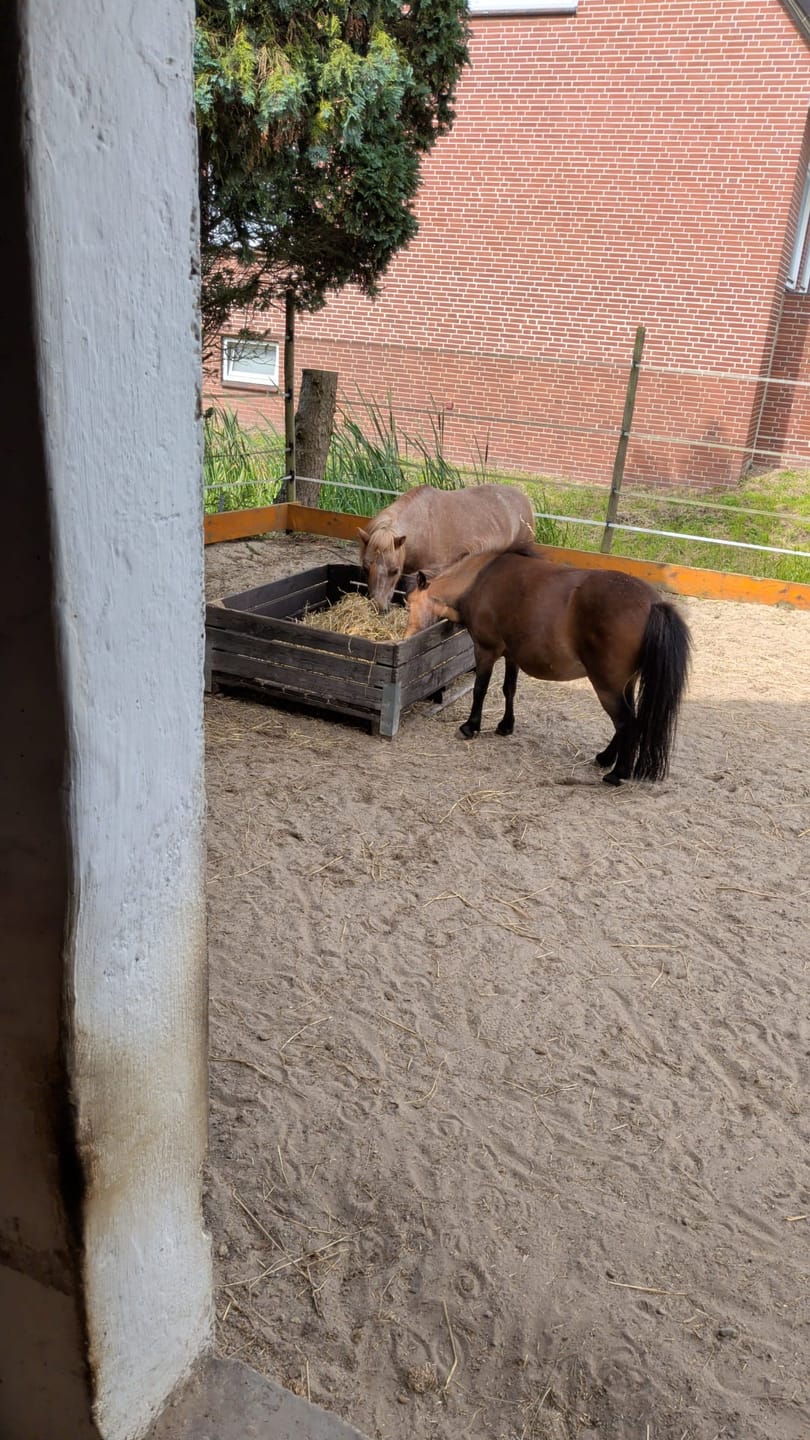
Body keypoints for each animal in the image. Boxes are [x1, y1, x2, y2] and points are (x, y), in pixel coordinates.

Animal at [357, 483, 534, 611]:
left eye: (394, 571)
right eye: (365, 568)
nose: (378, 607)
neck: (423, 527)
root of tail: (523, 498)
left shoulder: (435, 571)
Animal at [404, 546, 692, 785]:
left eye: (409, 604)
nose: (406, 636)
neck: (479, 580)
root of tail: (654, 603)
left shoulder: (486, 650)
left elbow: (480, 690)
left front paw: (470, 726)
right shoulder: (511, 655)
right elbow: (509, 690)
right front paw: (506, 726)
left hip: (607, 687)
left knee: (626, 723)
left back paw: (616, 773)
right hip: (625, 685)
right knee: (628, 722)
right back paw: (605, 758)